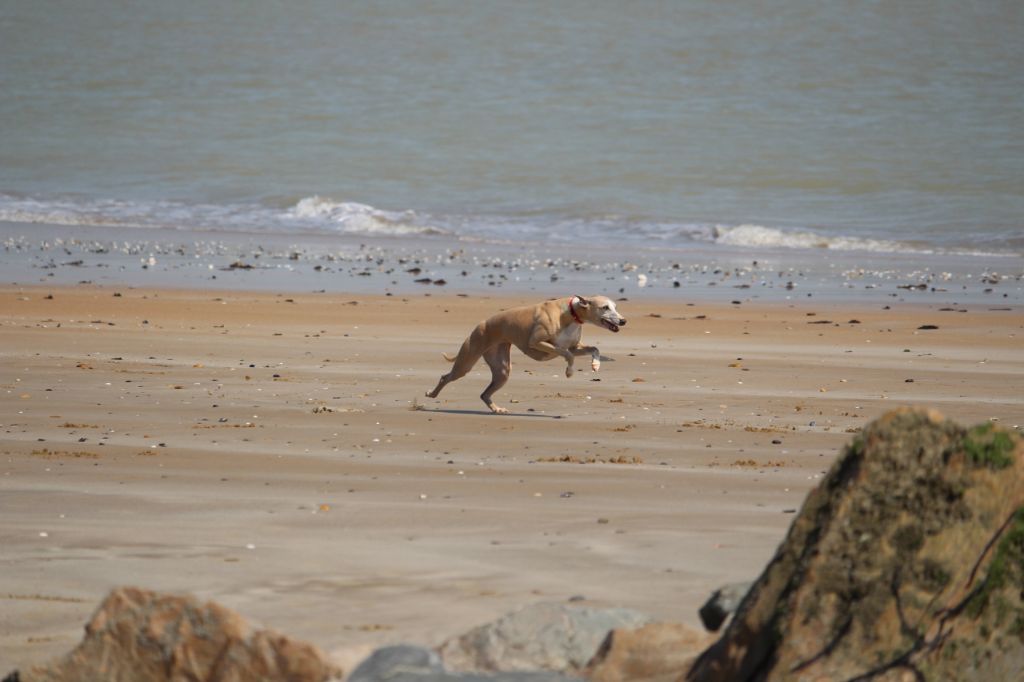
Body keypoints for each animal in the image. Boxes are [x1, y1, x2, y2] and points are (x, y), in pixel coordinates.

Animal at [423, 292, 622, 411]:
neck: (571, 313)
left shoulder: (573, 345)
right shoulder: (537, 342)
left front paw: (595, 364)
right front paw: (569, 372)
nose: (623, 321)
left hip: (501, 368)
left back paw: (496, 409)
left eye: (615, 307)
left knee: (484, 393)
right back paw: (431, 394)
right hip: (467, 359)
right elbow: (567, 354)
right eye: (605, 307)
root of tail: (480, 325)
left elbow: (592, 348)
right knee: (446, 377)